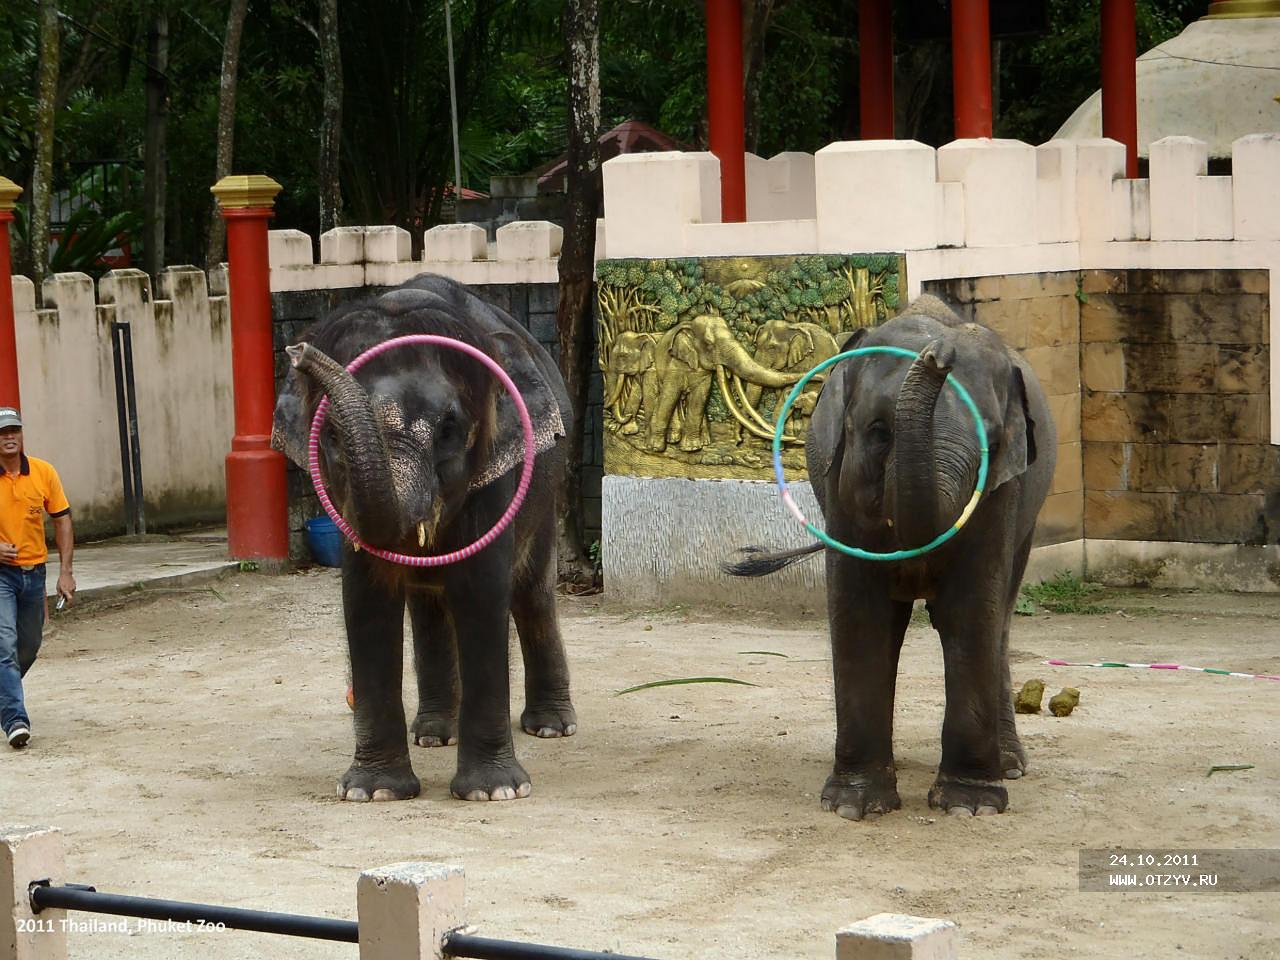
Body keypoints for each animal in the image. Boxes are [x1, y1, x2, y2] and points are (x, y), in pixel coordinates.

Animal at [273, 272, 576, 803]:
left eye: (449, 429)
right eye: (329, 436)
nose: (298, 349)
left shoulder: (498, 475)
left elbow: (481, 593)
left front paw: (495, 792)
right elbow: (366, 598)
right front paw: (373, 793)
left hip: (548, 488)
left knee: (531, 594)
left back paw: (552, 727)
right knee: (429, 606)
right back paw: (434, 733)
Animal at [650, 313, 798, 453]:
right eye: (709, 343)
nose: (738, 442)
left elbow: (699, 398)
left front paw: (692, 448)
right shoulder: (674, 363)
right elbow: (669, 395)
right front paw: (656, 448)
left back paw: (704, 442)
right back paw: (673, 440)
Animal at [727, 293, 1054, 819]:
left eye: (993, 444)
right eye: (880, 432)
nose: (939, 356)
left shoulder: (1004, 495)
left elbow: (971, 610)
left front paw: (969, 807)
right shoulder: (839, 488)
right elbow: (863, 613)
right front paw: (852, 806)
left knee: (1000, 617)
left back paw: (1008, 767)